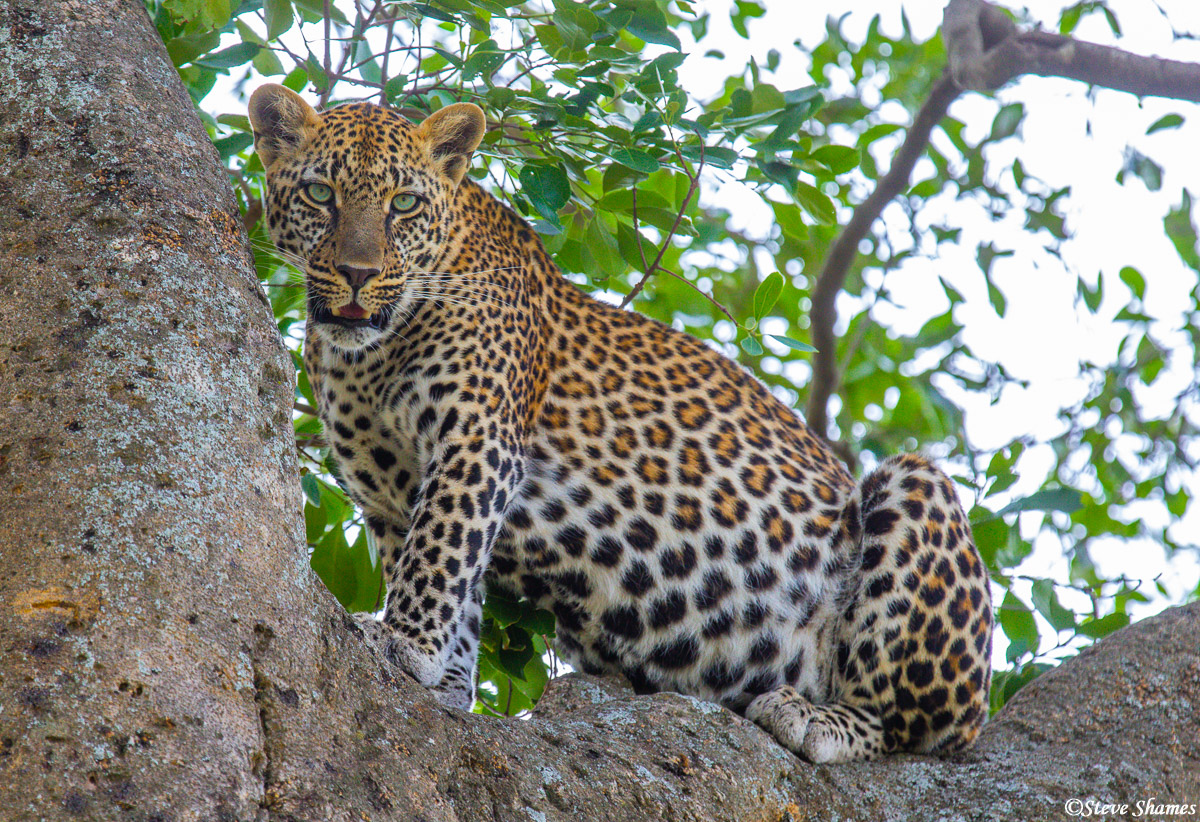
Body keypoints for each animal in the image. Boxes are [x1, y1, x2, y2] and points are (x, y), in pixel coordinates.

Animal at [248, 82, 993, 763]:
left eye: (403, 204)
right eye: (320, 194)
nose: (356, 273)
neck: (371, 353)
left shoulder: (477, 442)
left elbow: (439, 553)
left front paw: (402, 641)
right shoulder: (386, 494)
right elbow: (447, 575)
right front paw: (448, 678)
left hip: (917, 503)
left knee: (915, 726)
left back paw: (818, 718)